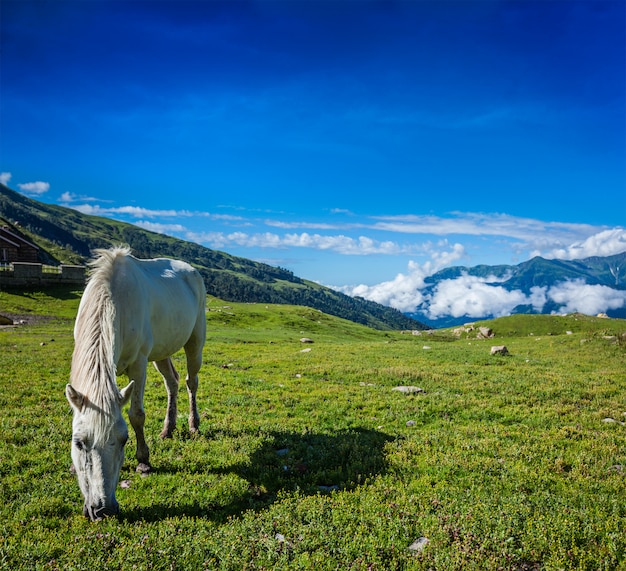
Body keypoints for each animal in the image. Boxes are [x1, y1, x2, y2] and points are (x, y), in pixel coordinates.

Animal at [67, 247, 206, 524]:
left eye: (123, 440)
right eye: (78, 443)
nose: (103, 509)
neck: (114, 303)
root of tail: (191, 270)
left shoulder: (139, 364)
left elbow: (136, 415)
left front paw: (143, 461)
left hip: (195, 343)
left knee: (190, 382)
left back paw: (193, 424)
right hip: (162, 352)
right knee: (172, 382)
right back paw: (168, 429)